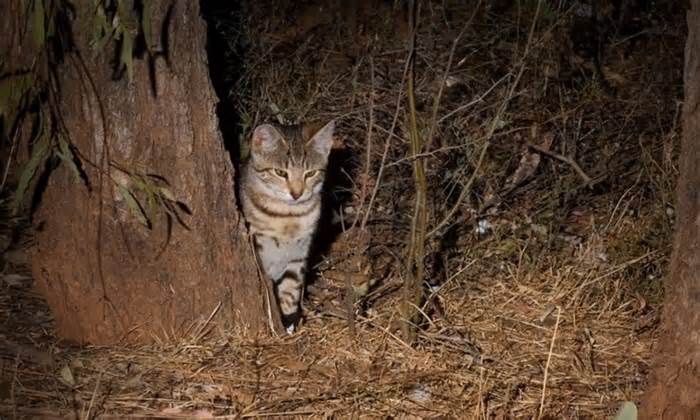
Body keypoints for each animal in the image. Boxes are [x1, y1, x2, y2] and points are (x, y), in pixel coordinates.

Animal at [239, 120, 334, 334]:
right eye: (280, 172)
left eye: (310, 173)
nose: (297, 194)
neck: (288, 217)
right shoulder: (258, 246)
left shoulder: (298, 254)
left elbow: (291, 289)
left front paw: (289, 321)